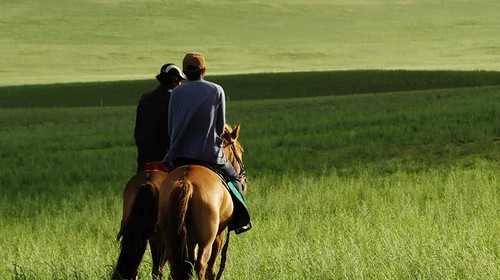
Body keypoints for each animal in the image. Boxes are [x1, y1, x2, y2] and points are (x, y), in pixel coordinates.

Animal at [158, 124, 248, 280]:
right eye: (241, 150)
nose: (244, 181)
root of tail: (186, 182)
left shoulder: (190, 239)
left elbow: (189, 262)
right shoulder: (219, 234)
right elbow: (211, 268)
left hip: (170, 237)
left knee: (176, 265)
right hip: (207, 239)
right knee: (201, 265)